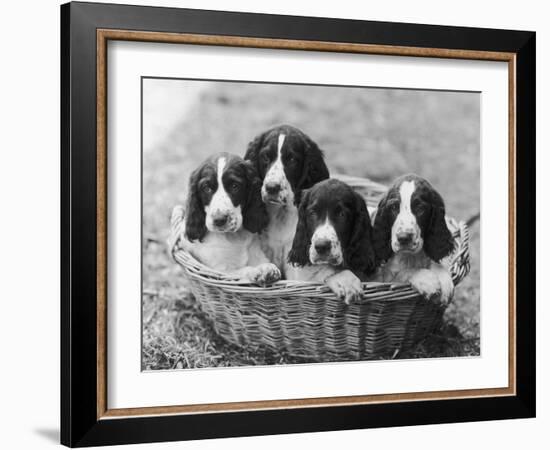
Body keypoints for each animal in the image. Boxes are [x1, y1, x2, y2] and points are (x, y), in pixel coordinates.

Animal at [170, 151, 282, 284]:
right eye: (206, 188)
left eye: (235, 186)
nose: (219, 220)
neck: (234, 238)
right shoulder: (220, 271)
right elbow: (242, 270)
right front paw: (258, 271)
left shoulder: (257, 255)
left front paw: (267, 268)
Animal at [376, 174, 458, 304]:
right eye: (393, 207)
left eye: (420, 208)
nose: (403, 238)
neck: (410, 257)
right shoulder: (384, 279)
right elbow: (402, 273)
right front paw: (427, 280)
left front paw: (444, 279)